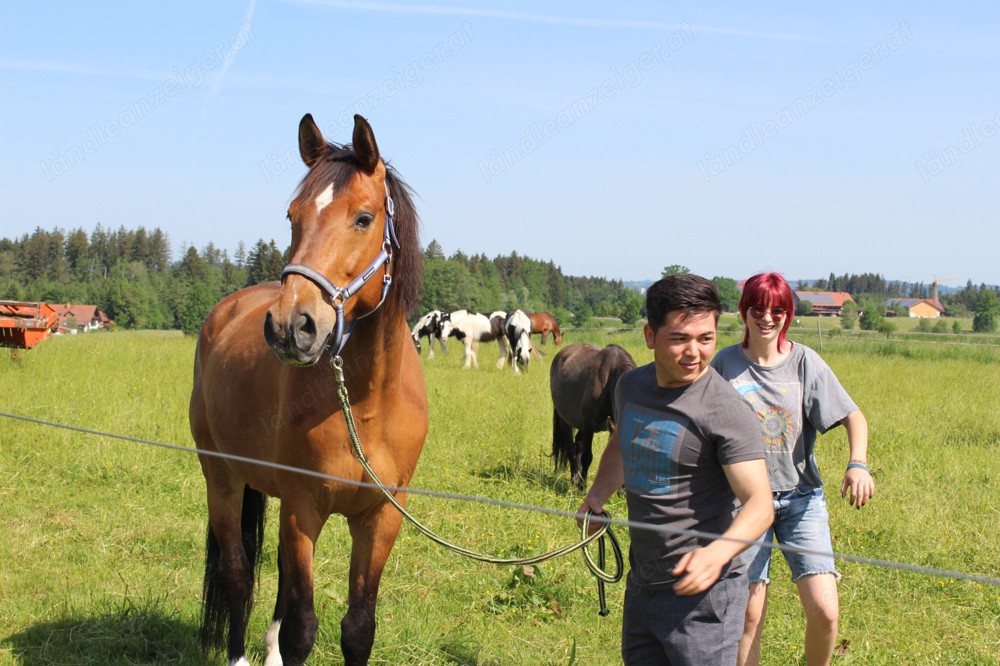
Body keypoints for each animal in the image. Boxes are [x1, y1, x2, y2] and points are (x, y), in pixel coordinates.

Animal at [189, 113, 428, 664]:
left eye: (363, 218)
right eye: (292, 216)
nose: (289, 325)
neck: (364, 404)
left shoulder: (380, 517)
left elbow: (358, 627)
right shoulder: (303, 508)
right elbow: (302, 626)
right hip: (221, 475)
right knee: (237, 571)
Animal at [552, 342, 636, 488]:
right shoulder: (589, 424)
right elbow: (587, 457)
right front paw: (582, 486)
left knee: (578, 445)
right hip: (565, 421)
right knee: (570, 449)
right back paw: (575, 479)